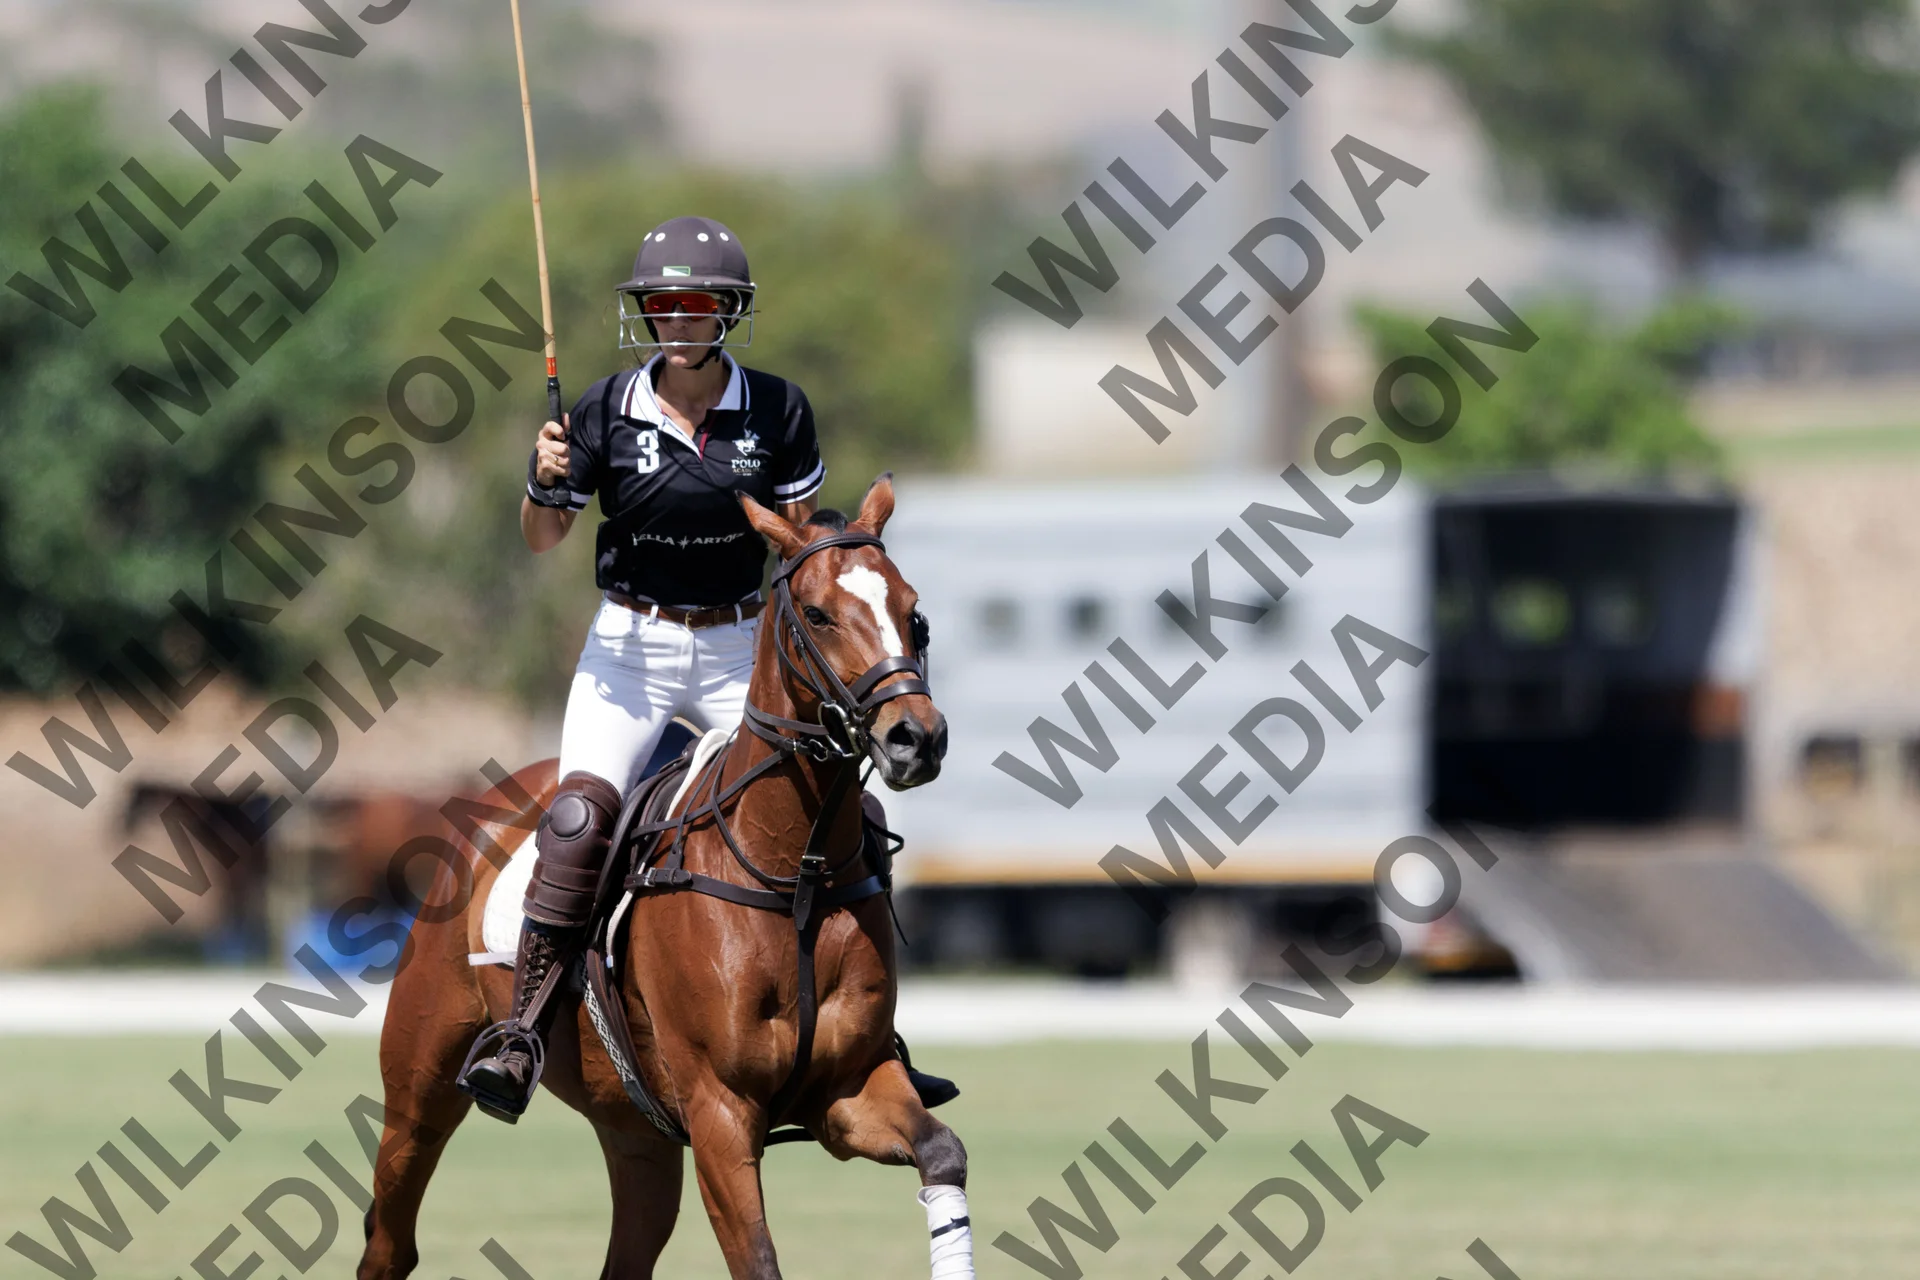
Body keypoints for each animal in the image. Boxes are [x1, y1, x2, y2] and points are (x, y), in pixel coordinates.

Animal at [356, 477, 969, 1280]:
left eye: (913, 611)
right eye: (816, 613)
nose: (916, 738)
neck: (794, 875)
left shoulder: (847, 1087)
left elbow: (942, 1151)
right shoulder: (720, 1109)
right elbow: (759, 1259)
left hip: (635, 1129)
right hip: (420, 1082)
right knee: (390, 1238)